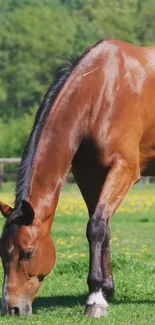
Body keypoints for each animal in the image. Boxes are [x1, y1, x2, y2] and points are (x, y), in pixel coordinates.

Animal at [0, 38, 155, 316]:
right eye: (2, 254)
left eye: (28, 253)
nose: (11, 308)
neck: (102, 90)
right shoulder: (87, 173)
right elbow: (103, 226)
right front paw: (105, 289)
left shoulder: (124, 169)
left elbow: (96, 227)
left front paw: (95, 299)